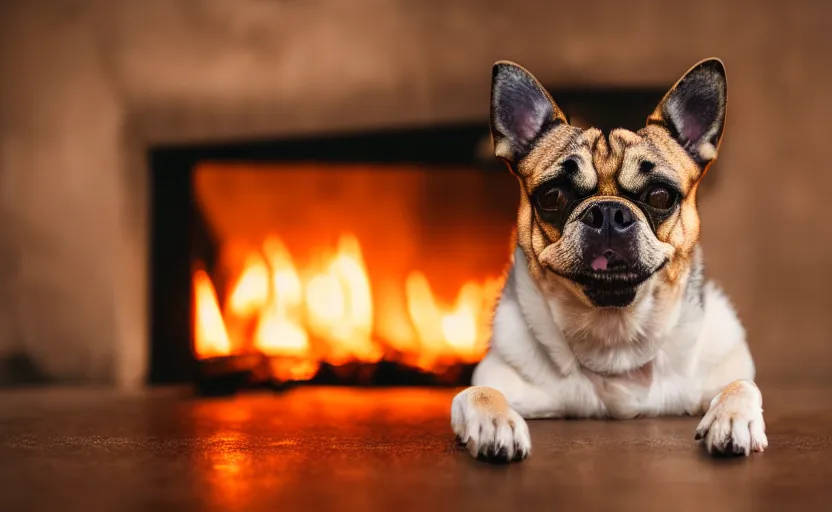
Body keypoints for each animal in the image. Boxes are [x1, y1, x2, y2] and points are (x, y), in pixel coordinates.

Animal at [452, 58, 772, 462]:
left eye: (661, 196)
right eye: (553, 196)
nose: (607, 212)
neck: (614, 335)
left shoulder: (723, 373)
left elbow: (742, 386)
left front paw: (732, 418)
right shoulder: (494, 379)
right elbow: (477, 394)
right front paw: (496, 423)